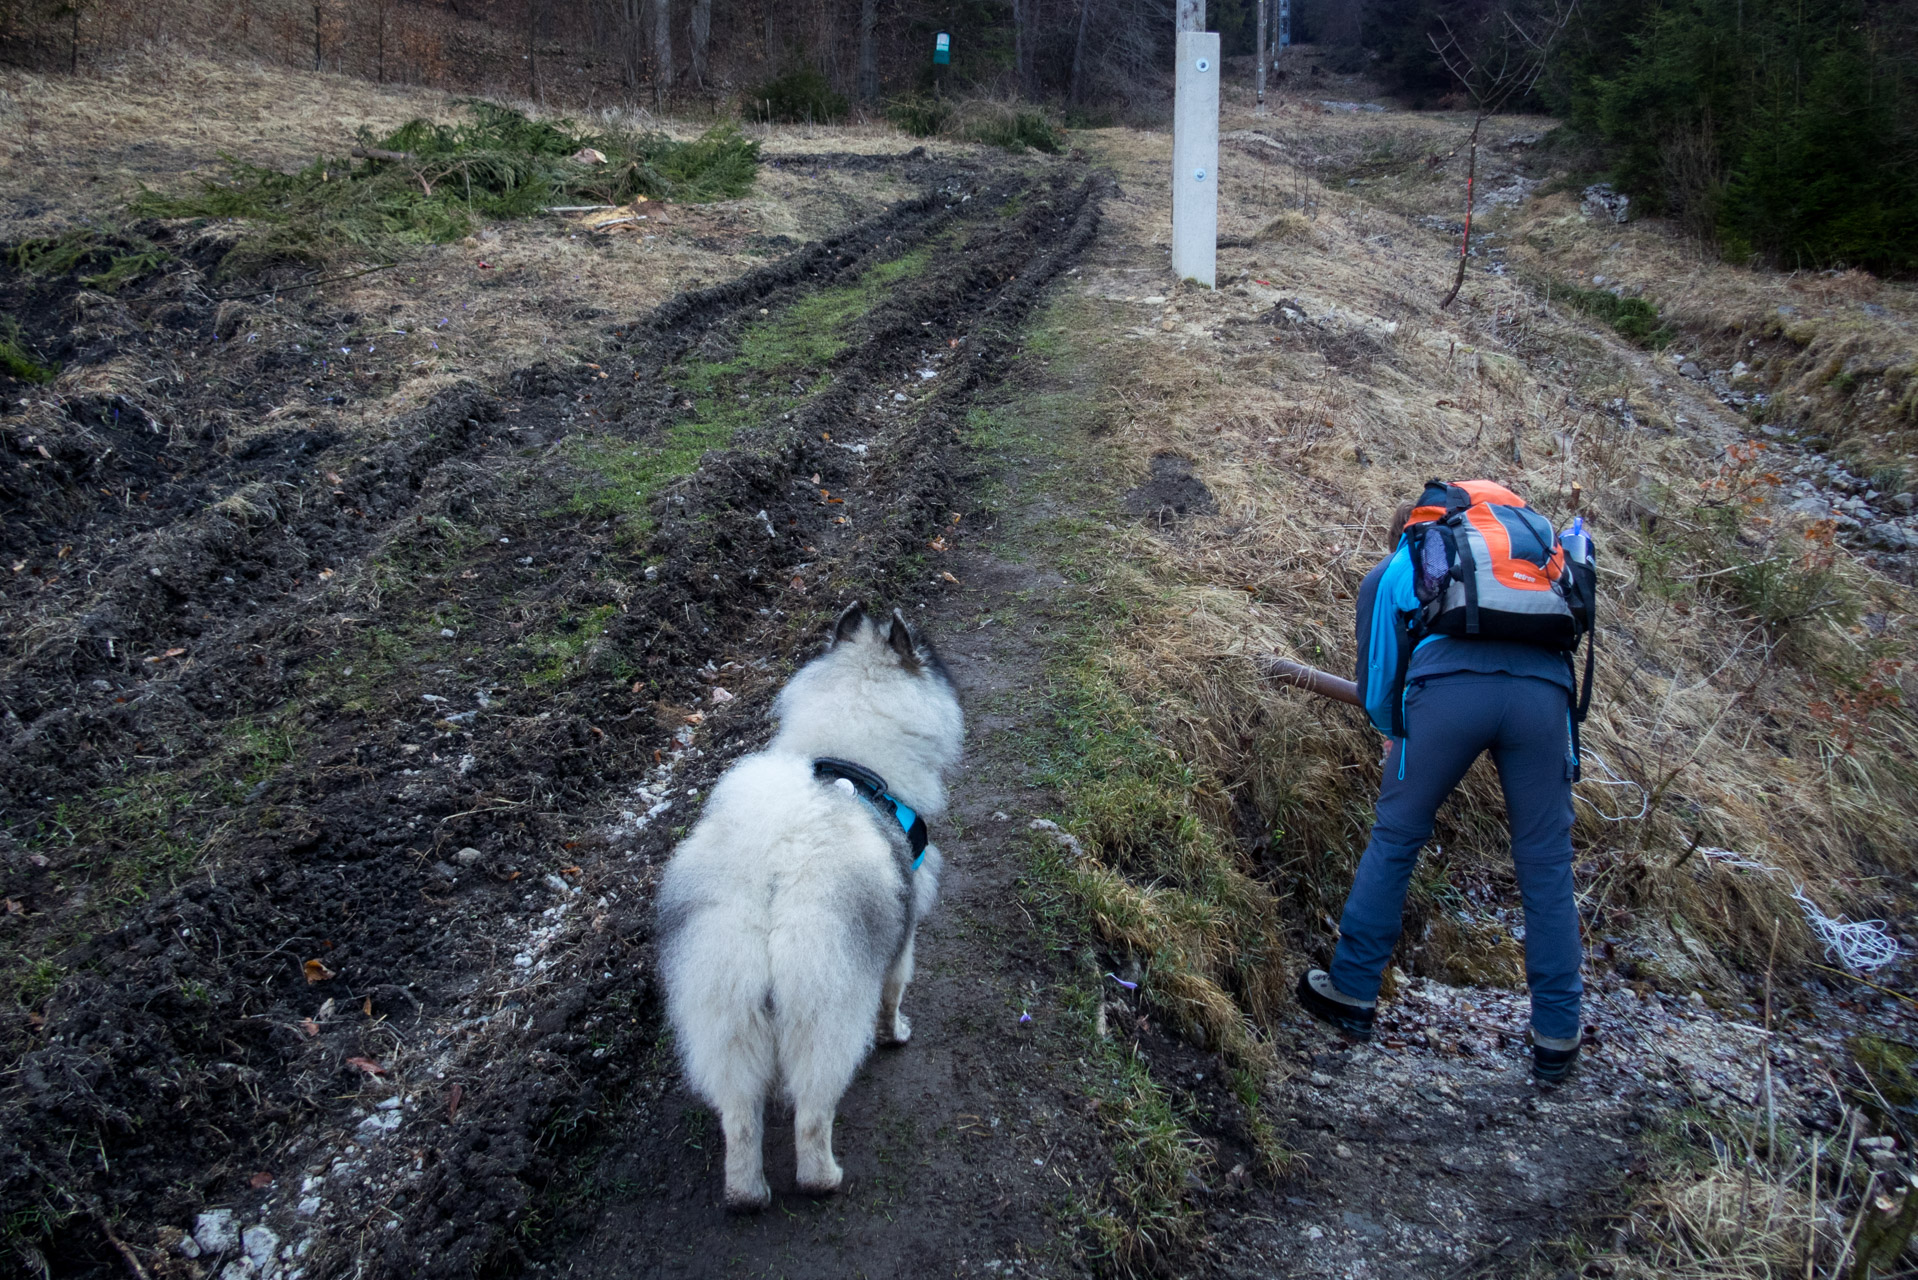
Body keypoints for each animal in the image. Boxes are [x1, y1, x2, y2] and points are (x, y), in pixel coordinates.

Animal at [655, 606, 959, 1205]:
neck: (856, 760)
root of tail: (773, 892)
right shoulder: (903, 940)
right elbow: (893, 996)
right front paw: (897, 1035)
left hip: (724, 1015)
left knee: (740, 1120)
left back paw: (747, 1194)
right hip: (826, 1016)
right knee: (813, 1118)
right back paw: (825, 1179)